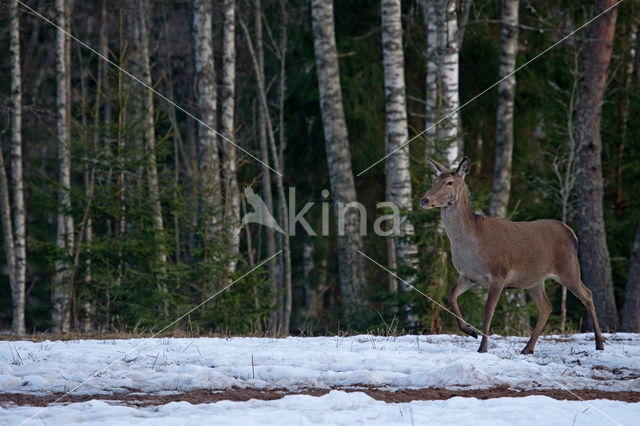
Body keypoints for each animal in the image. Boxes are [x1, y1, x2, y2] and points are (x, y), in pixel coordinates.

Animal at [420, 156, 604, 352]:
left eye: (449, 182)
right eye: (433, 181)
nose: (424, 200)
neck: (470, 246)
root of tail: (571, 233)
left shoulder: (498, 274)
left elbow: (488, 310)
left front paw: (482, 348)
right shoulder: (468, 275)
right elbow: (451, 296)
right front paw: (470, 331)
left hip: (568, 268)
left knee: (587, 294)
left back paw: (599, 343)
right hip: (534, 279)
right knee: (546, 306)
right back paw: (527, 348)